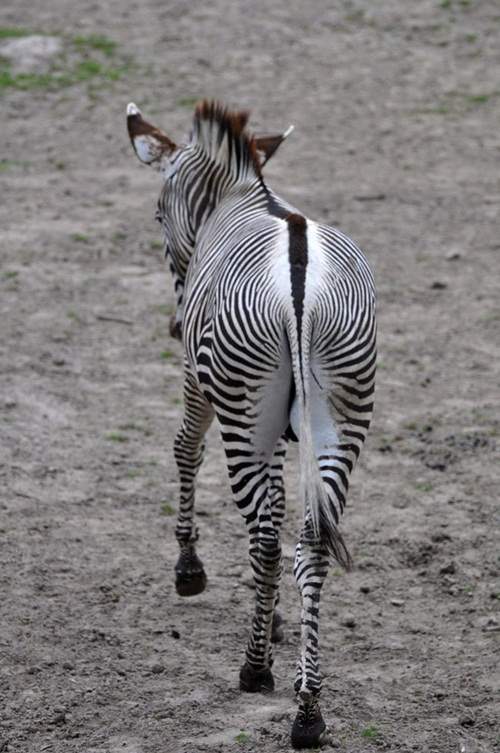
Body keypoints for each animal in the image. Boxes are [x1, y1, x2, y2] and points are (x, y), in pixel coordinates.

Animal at [125, 98, 376, 748]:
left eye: (157, 211)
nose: (173, 323)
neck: (243, 196)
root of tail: (298, 280)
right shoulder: (286, 432)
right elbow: (285, 504)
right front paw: (279, 617)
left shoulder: (199, 380)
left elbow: (185, 447)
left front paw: (190, 569)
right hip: (341, 414)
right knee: (310, 541)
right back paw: (308, 709)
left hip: (243, 414)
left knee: (265, 538)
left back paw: (256, 670)